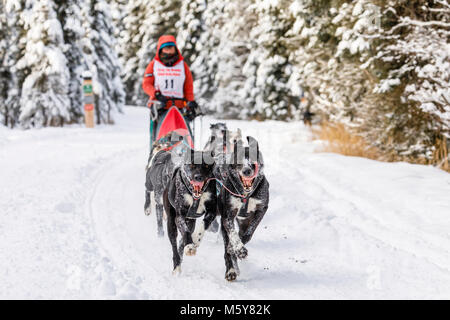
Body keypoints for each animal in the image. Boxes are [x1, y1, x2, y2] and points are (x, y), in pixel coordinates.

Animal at [216, 136, 268, 282]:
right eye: (239, 159)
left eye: (252, 158)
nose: (246, 171)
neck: (245, 195)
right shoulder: (228, 215)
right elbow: (233, 235)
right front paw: (239, 250)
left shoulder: (261, 209)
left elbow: (248, 233)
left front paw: (237, 249)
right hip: (224, 226)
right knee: (227, 247)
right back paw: (231, 271)